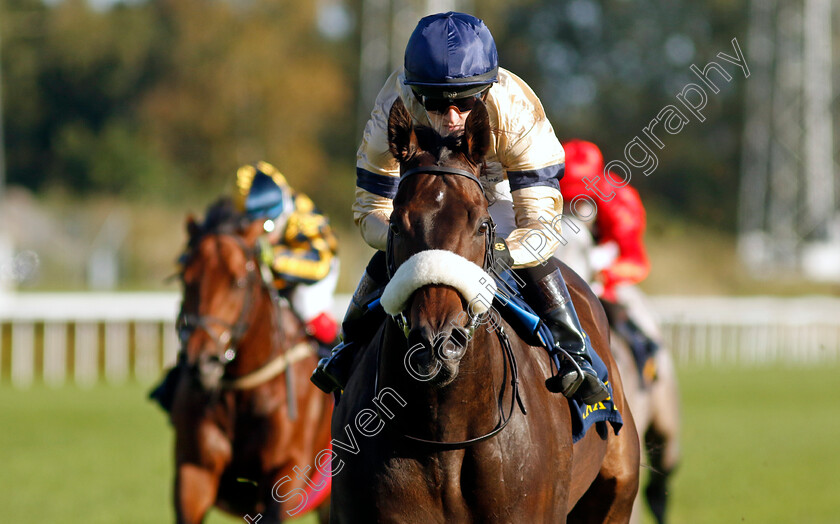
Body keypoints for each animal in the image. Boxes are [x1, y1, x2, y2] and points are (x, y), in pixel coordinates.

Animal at [172, 199, 334, 520]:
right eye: (186, 278)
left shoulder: (286, 472)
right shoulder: (193, 471)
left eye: (237, 281)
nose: (202, 362)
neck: (241, 389)